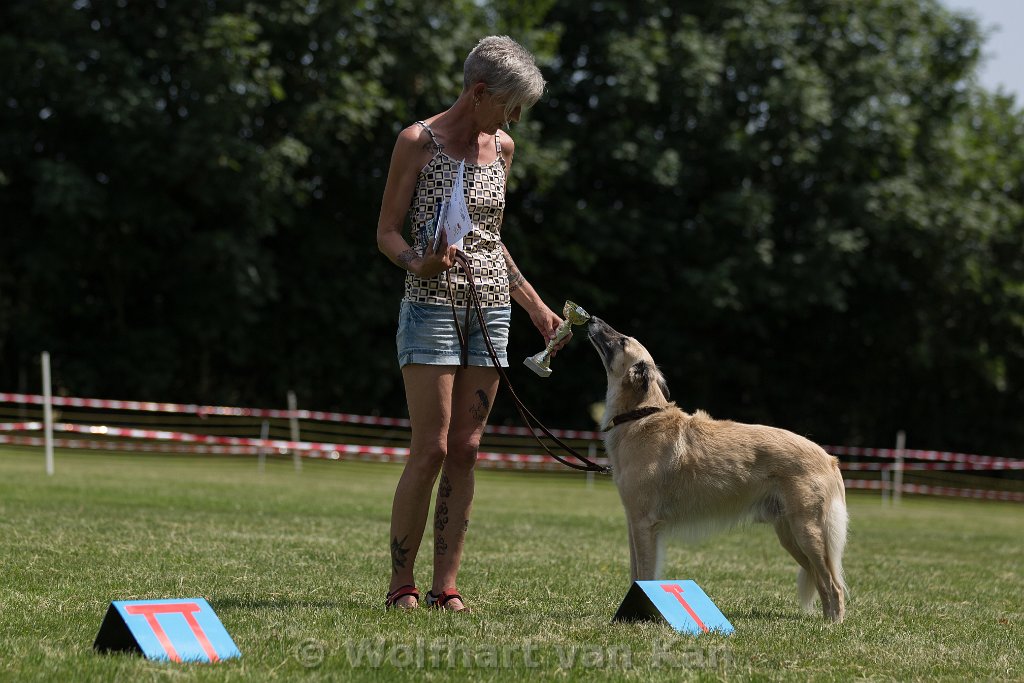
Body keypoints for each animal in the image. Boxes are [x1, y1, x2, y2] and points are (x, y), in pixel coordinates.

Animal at [589, 317, 851, 622]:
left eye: (622, 340)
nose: (592, 319)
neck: (640, 415)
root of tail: (829, 458)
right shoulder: (634, 522)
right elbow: (636, 573)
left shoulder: (644, 523)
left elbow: (643, 574)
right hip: (791, 535)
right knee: (823, 583)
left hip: (808, 533)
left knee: (833, 585)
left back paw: (833, 625)